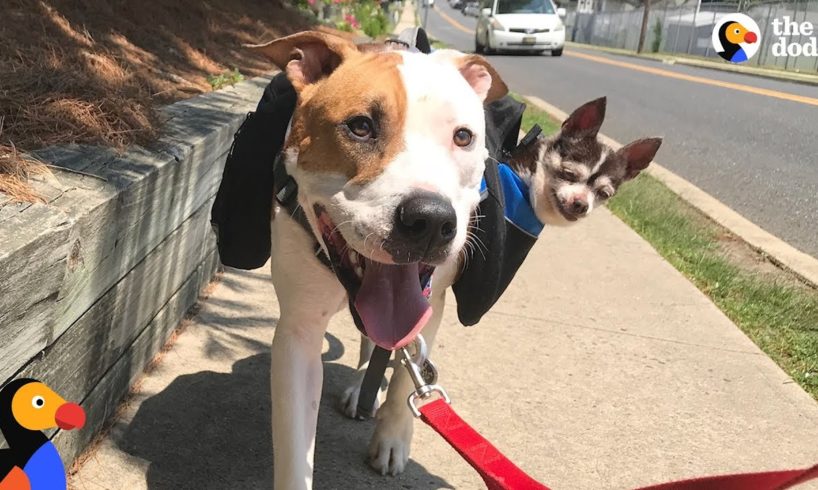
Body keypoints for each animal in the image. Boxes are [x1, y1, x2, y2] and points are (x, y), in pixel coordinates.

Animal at [252, 29, 660, 486]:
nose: (430, 220)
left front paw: (392, 439)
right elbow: (295, 447)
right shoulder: (298, 332)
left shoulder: (432, 300)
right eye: (359, 127)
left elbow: (406, 373)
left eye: (463, 137)